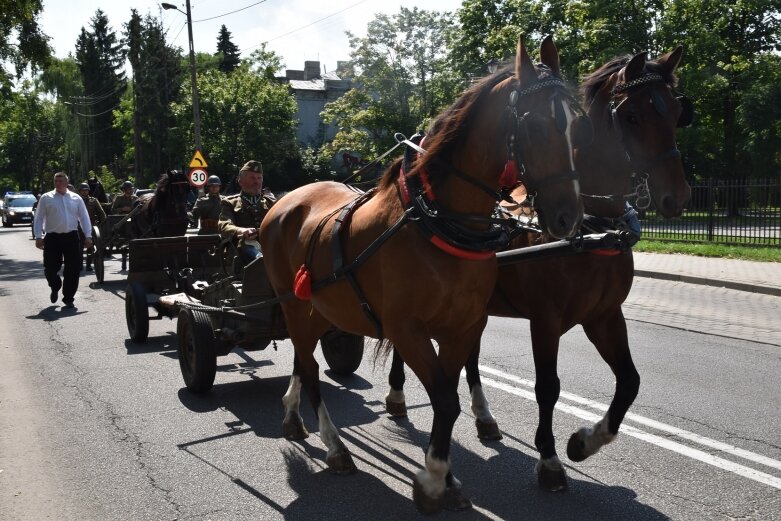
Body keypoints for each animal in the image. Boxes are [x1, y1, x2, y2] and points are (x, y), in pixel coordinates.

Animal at [260, 35, 584, 512]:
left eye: (574, 124)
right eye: (535, 124)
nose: (568, 217)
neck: (437, 221)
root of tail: (283, 201)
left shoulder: (462, 327)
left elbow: (447, 396)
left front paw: (444, 474)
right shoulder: (408, 330)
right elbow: (445, 401)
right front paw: (433, 480)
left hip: (321, 309)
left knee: (304, 364)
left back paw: (290, 414)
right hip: (295, 306)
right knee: (311, 368)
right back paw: (335, 446)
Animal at [386, 46, 692, 490]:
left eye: (676, 111)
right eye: (632, 116)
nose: (678, 195)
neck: (592, 230)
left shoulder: (604, 316)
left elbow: (629, 382)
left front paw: (584, 441)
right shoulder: (545, 320)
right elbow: (548, 387)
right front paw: (549, 459)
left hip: (475, 310)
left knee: (470, 356)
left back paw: (484, 416)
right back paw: (396, 395)